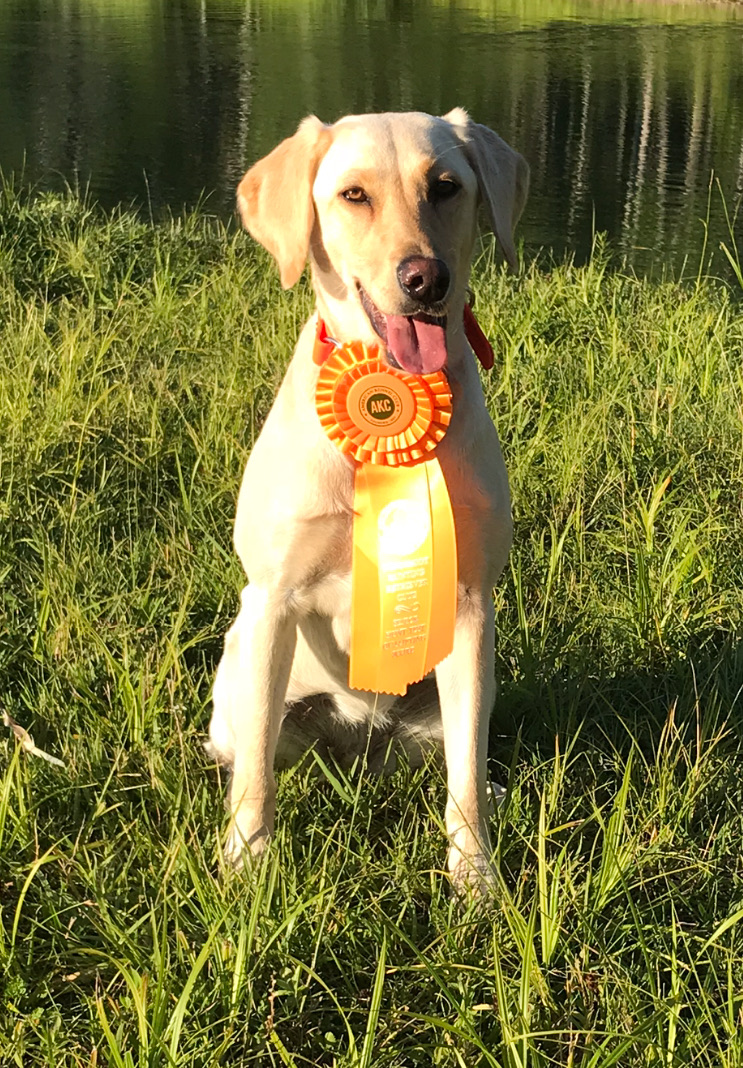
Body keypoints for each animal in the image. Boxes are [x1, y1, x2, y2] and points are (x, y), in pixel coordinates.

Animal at [209, 108, 527, 892]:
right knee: (246, 751)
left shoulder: (469, 604)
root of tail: (353, 747)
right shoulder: (273, 599)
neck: (391, 391)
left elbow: (464, 780)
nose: (425, 277)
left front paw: (475, 880)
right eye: (354, 195)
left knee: (462, 758)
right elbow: (256, 779)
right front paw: (247, 866)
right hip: (240, 663)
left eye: (445, 186)